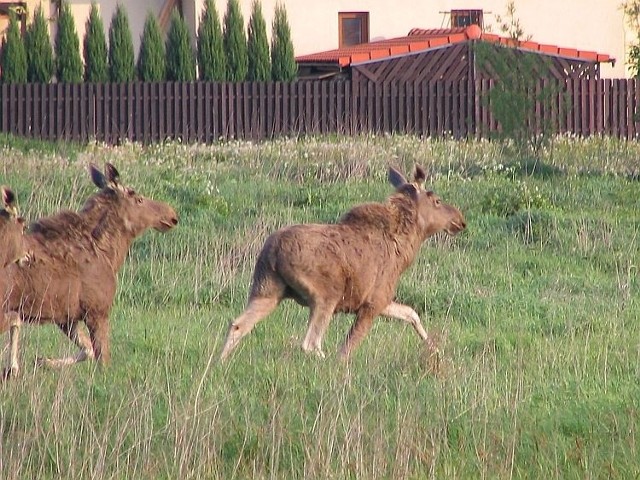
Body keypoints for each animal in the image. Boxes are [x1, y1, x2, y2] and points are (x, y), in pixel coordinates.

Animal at [1, 165, 178, 378]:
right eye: (139, 199)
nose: (171, 214)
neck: (110, 253)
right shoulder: (97, 311)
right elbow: (102, 359)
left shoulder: (66, 317)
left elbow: (88, 350)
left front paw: (43, 361)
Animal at [220, 164, 464, 360]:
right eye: (437, 201)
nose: (460, 219)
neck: (406, 249)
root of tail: (273, 251)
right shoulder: (373, 302)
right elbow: (347, 349)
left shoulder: (381, 300)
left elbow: (411, 313)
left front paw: (435, 349)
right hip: (326, 295)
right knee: (310, 343)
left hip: (267, 290)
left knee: (238, 324)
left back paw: (220, 363)